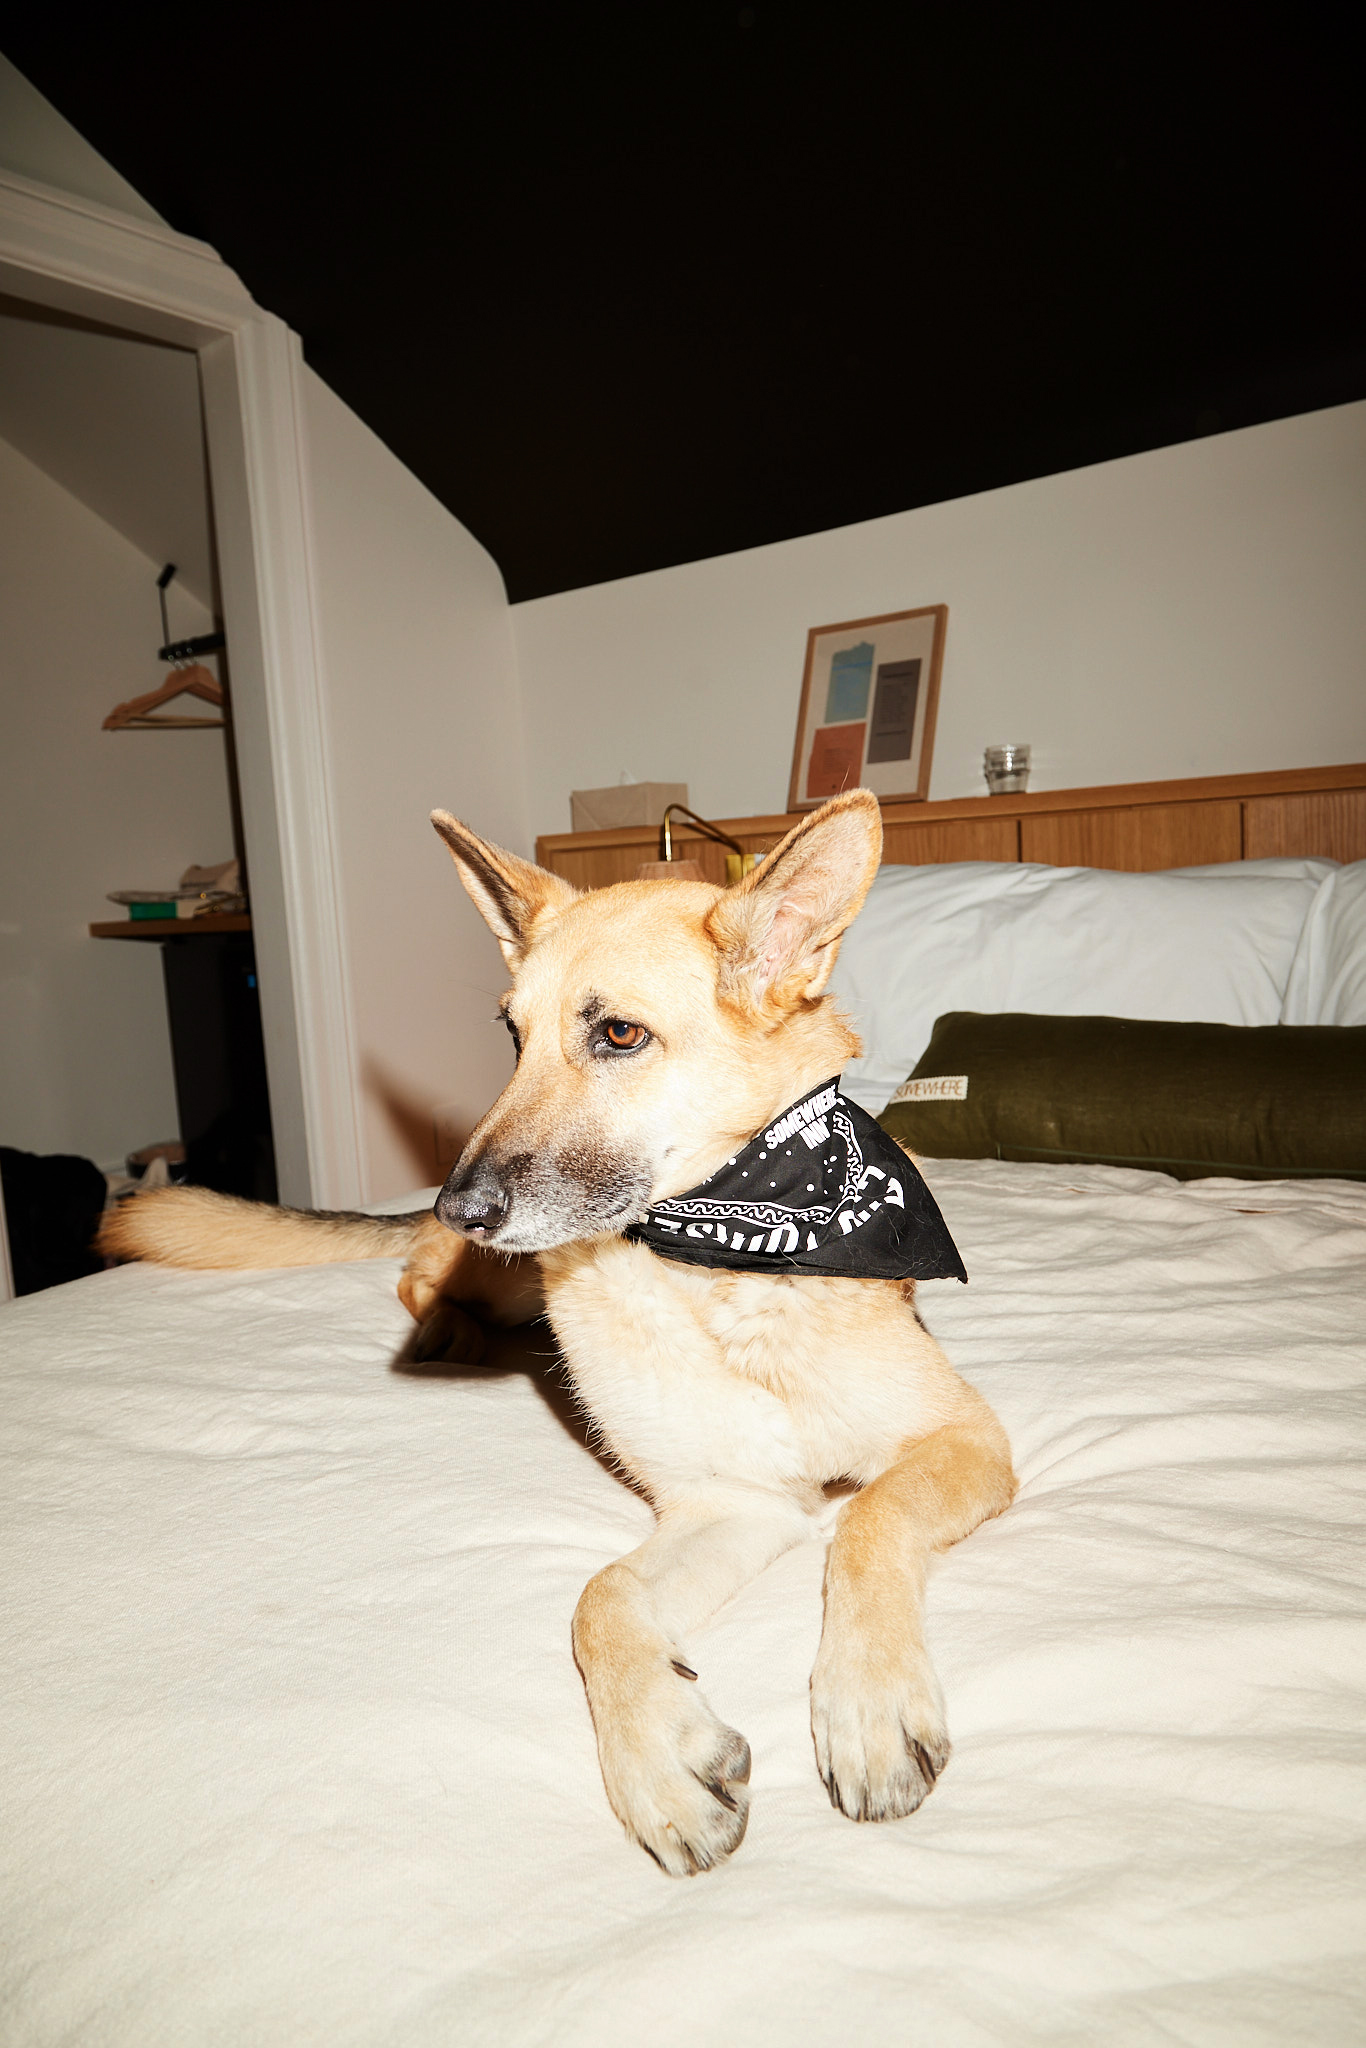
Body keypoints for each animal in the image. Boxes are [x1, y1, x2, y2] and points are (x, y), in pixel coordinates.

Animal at [101, 788, 1015, 1875]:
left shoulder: (961, 1441)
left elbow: (870, 1520)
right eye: (511, 1035)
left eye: (618, 1032)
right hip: (496, 1280)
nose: (459, 1206)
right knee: (416, 1280)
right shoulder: (730, 1500)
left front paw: (867, 1703)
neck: (723, 1253)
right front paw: (659, 1759)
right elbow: (600, 1598)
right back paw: (450, 1327)